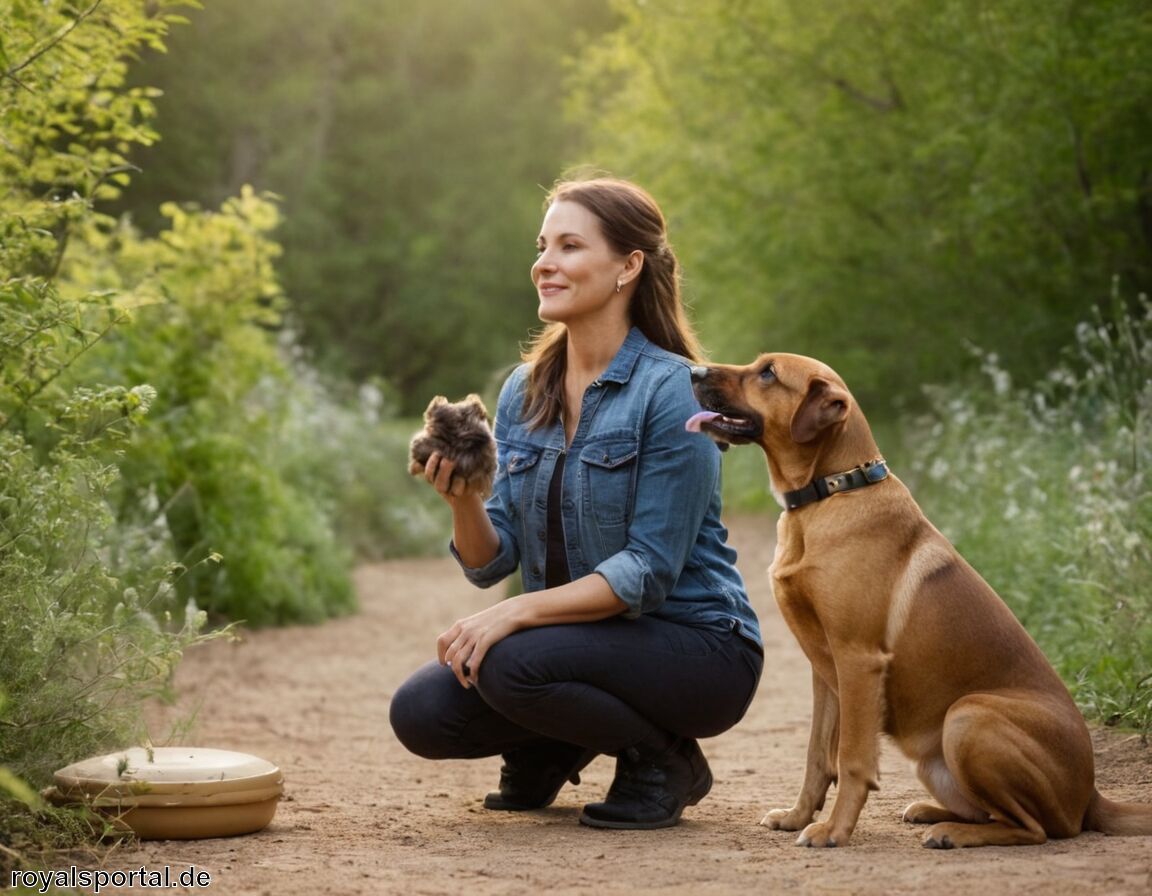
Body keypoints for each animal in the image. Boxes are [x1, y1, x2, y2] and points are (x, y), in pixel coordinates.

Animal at [686, 354, 1147, 843]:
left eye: (768, 373)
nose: (693, 372)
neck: (831, 490)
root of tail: (1091, 794)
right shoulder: (825, 669)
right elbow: (817, 756)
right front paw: (798, 816)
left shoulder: (858, 659)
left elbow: (852, 759)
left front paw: (833, 830)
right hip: (937, 759)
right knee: (989, 812)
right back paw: (932, 813)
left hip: (967, 717)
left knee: (1035, 829)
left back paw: (953, 833)